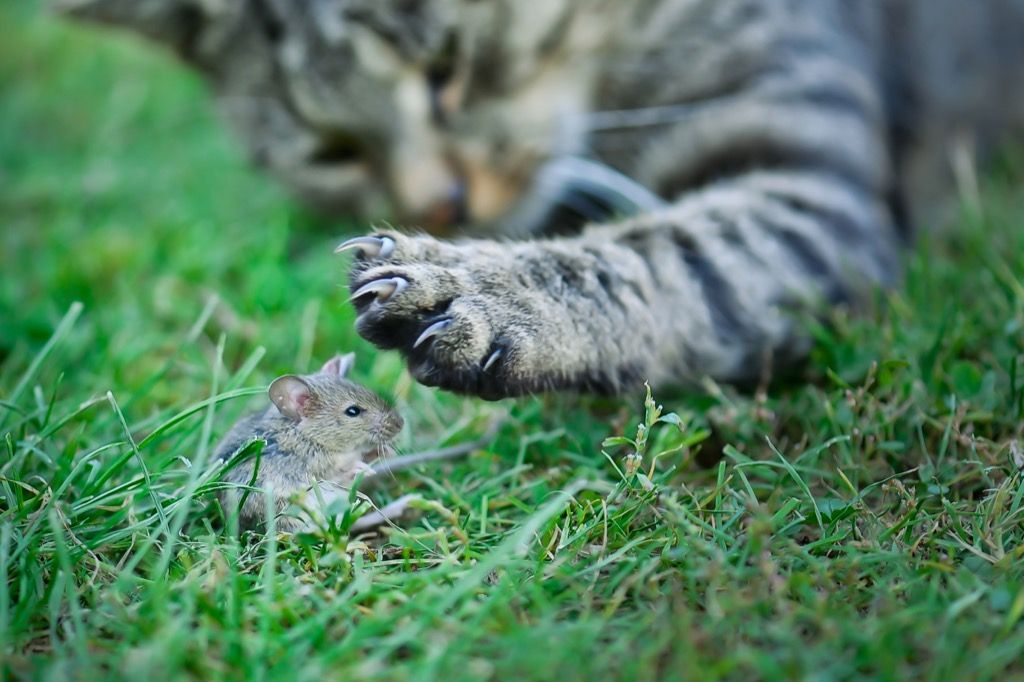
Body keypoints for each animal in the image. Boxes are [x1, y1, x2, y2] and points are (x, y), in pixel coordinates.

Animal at [64, 0, 1024, 399]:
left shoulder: (808, 184)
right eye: (335, 151)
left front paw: (486, 288)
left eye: (447, 69)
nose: (442, 205)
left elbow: (659, 253)